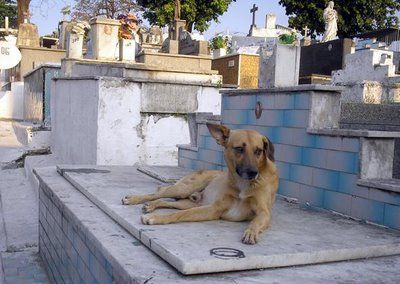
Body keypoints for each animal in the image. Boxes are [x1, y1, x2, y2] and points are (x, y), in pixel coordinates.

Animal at [121, 123, 278, 245]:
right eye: (239, 149)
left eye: (259, 151)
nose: (253, 173)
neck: (242, 184)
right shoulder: (215, 208)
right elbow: (180, 214)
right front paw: (155, 218)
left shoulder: (264, 213)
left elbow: (255, 222)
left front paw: (251, 232)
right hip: (184, 189)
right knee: (159, 192)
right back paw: (134, 199)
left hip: (189, 202)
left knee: (166, 201)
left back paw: (151, 206)